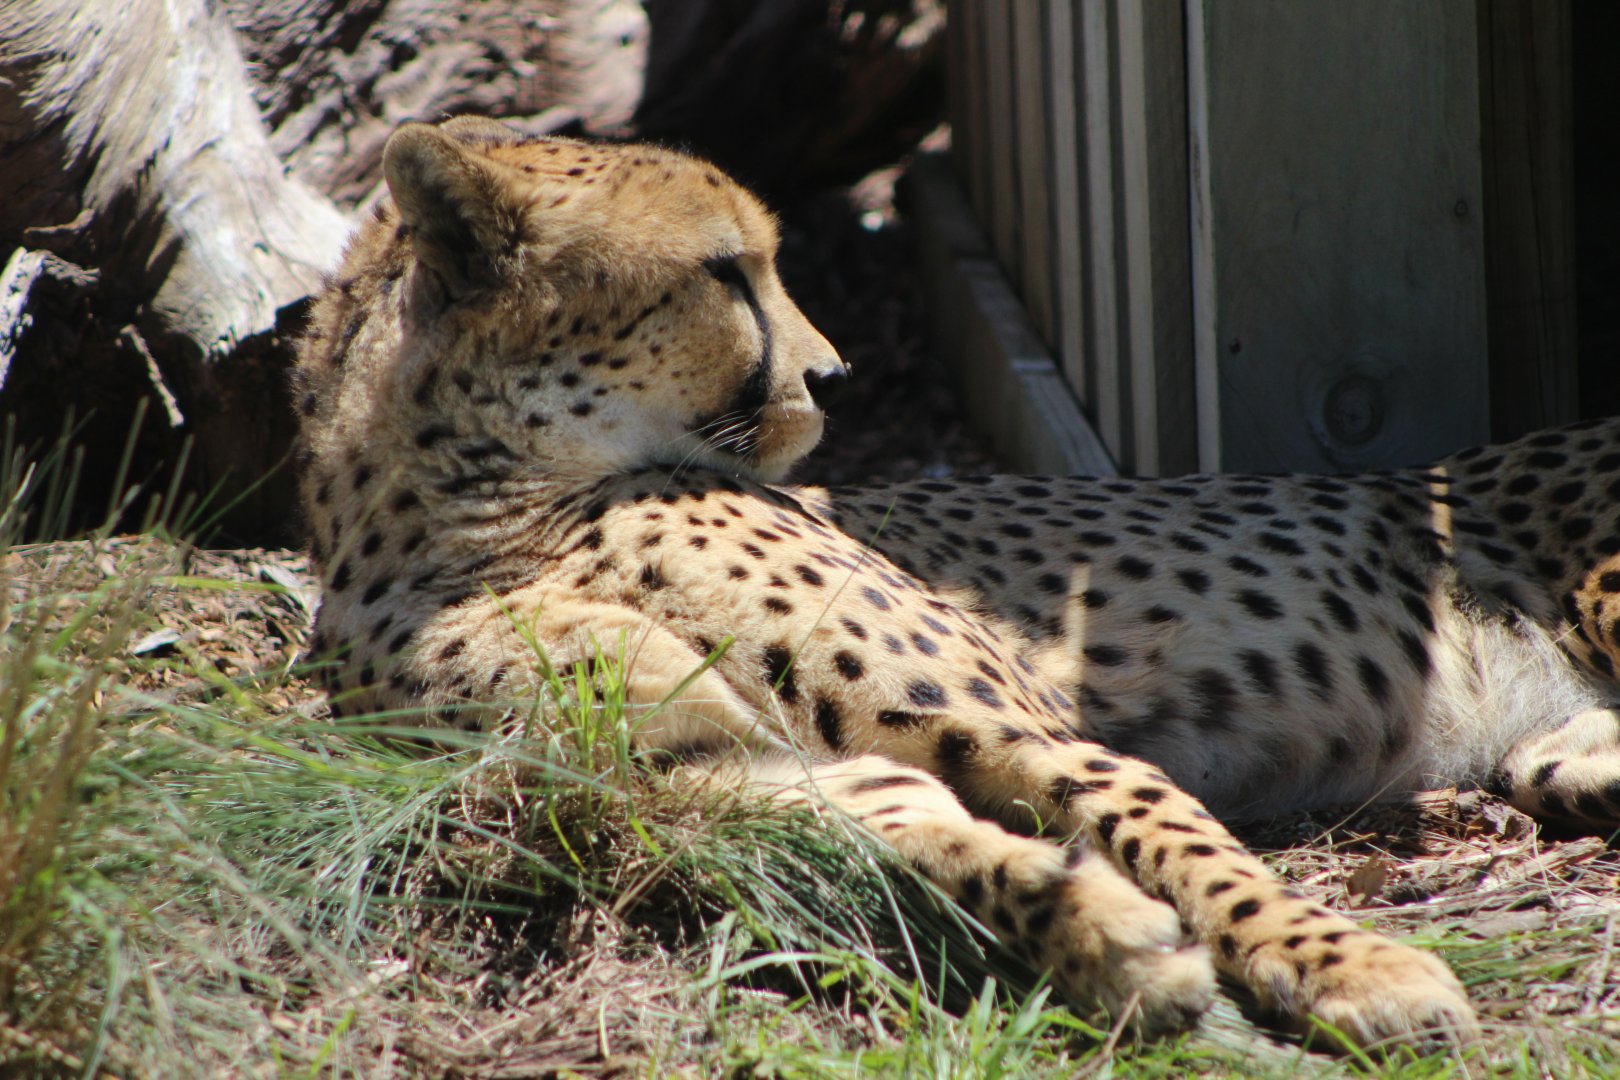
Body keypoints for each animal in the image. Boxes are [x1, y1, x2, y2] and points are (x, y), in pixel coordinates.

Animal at [292, 113, 1611, 1050]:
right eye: (725, 271)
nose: (833, 374)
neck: (494, 509)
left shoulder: (1017, 724)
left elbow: (1196, 848)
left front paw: (1354, 966)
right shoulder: (699, 775)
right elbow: (911, 839)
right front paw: (1104, 938)